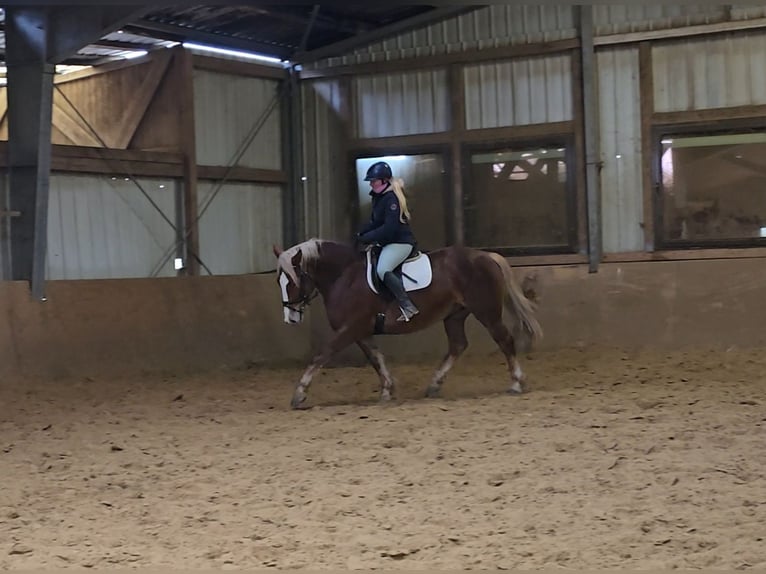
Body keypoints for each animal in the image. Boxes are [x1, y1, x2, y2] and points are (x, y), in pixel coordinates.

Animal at [272, 238, 544, 410]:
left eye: (293, 280)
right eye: (279, 281)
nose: (290, 318)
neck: (345, 277)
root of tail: (486, 255)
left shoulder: (350, 328)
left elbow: (321, 355)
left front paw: (299, 394)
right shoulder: (361, 331)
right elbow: (376, 358)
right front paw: (387, 390)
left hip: (486, 312)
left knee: (504, 340)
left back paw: (517, 383)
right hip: (455, 315)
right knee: (458, 345)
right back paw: (434, 385)